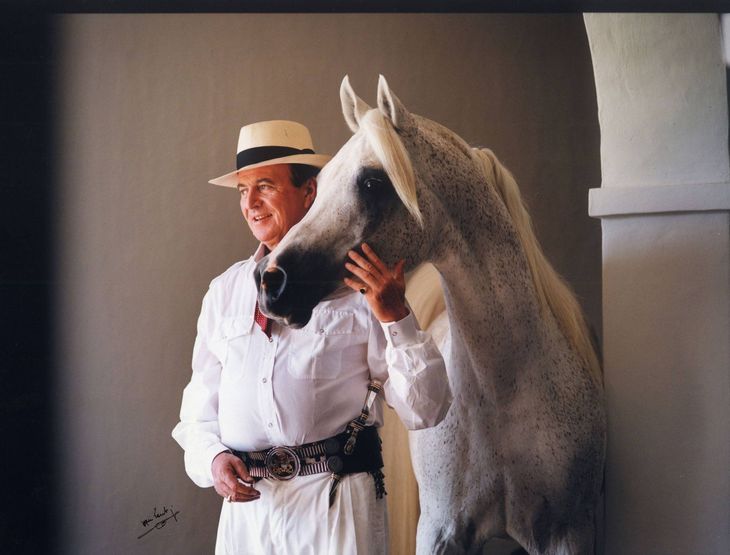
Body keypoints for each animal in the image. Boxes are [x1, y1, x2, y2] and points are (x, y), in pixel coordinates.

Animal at [256, 75, 606, 555]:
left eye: (372, 183)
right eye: (321, 181)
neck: (507, 392)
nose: (270, 281)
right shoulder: (441, 531)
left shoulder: (567, 532)